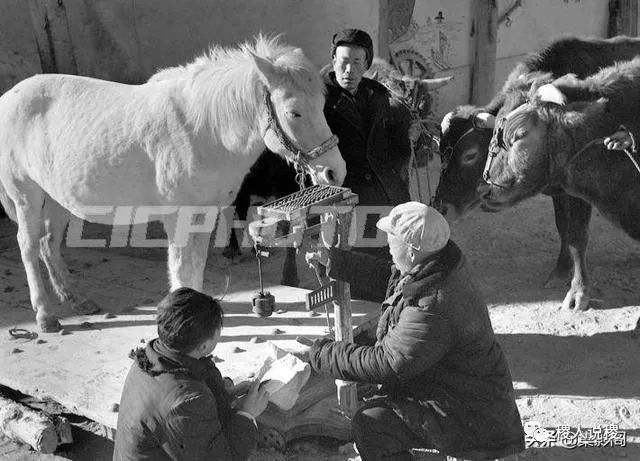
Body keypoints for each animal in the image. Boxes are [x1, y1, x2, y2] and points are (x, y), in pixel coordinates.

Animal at [0, 36, 344, 330]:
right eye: (294, 112)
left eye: (323, 105)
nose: (334, 172)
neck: (203, 131)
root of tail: (8, 97)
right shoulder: (178, 217)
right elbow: (181, 268)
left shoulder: (205, 213)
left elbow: (196, 267)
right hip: (27, 194)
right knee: (28, 245)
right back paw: (45, 316)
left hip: (57, 198)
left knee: (48, 244)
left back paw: (76, 299)